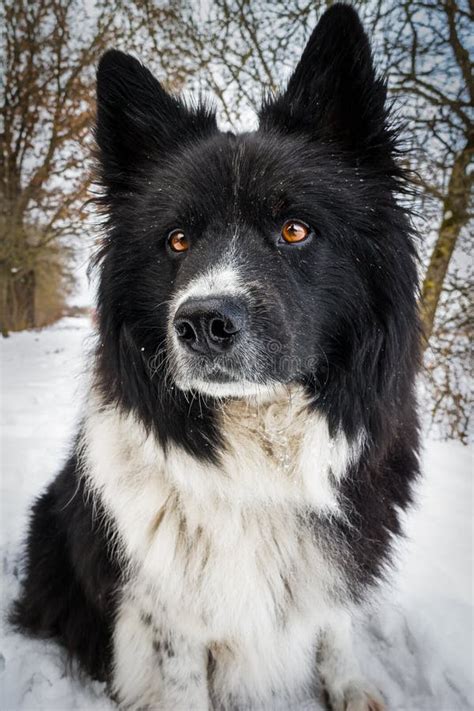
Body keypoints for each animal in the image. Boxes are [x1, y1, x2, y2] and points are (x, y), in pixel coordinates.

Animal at [12, 5, 418, 711]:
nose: (200, 323)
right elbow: (180, 679)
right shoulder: (165, 610)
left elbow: (335, 623)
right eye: (177, 240)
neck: (259, 460)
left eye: (294, 228)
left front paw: (348, 685)